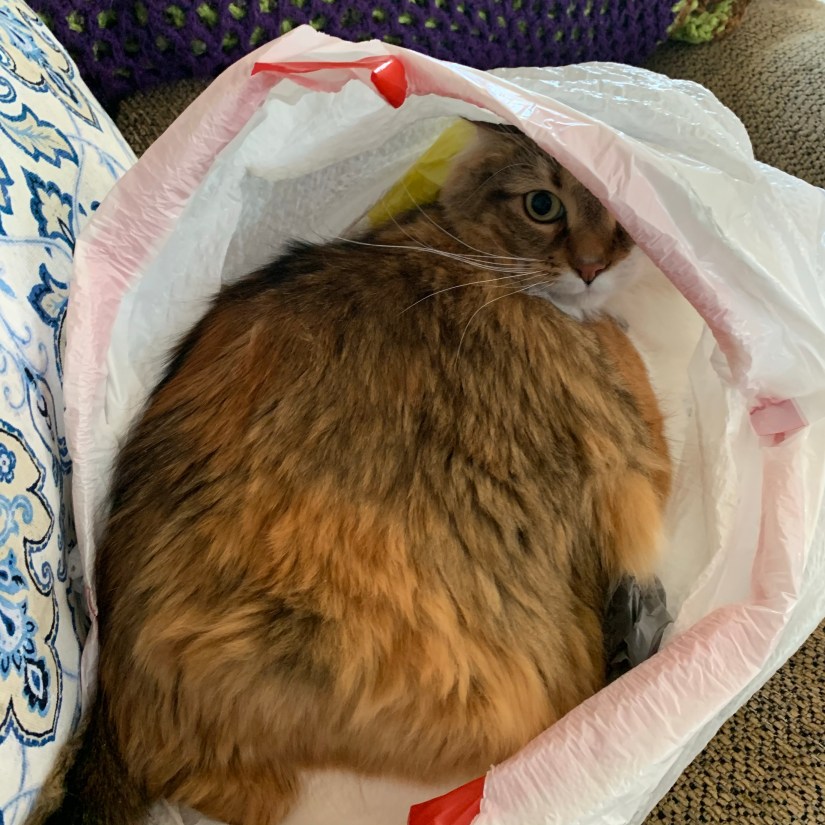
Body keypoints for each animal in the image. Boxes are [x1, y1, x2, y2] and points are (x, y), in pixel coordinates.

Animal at [27, 121, 671, 825]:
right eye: (543, 206)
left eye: (622, 215)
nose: (592, 267)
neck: (467, 247)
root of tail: (113, 721)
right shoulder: (630, 429)